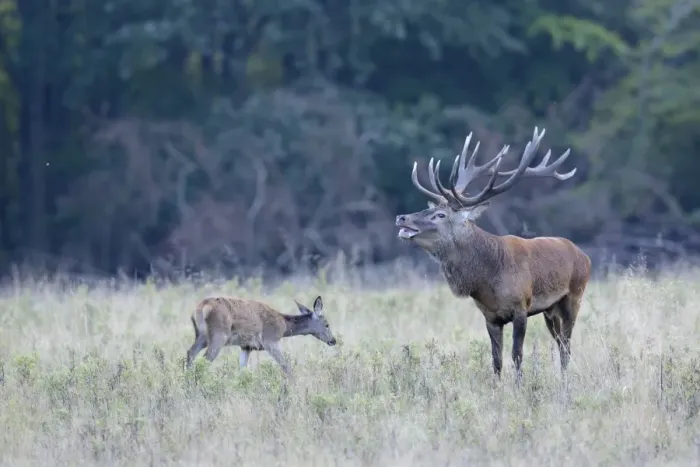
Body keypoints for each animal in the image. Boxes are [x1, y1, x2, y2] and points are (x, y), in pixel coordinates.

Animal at [185, 295, 337, 377]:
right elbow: (285, 366)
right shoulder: (270, 340)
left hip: (202, 336)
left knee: (190, 353)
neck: (284, 326)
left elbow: (243, 370)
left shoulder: (246, 346)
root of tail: (200, 308)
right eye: (327, 324)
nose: (333, 341)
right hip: (218, 335)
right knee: (204, 360)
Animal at [395, 127, 591, 380]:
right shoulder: (490, 317)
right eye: (430, 209)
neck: (488, 279)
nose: (402, 217)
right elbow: (496, 360)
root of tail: (584, 256)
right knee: (559, 343)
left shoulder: (521, 307)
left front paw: (519, 385)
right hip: (550, 310)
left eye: (440, 215)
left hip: (574, 296)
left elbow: (517, 355)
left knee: (566, 346)